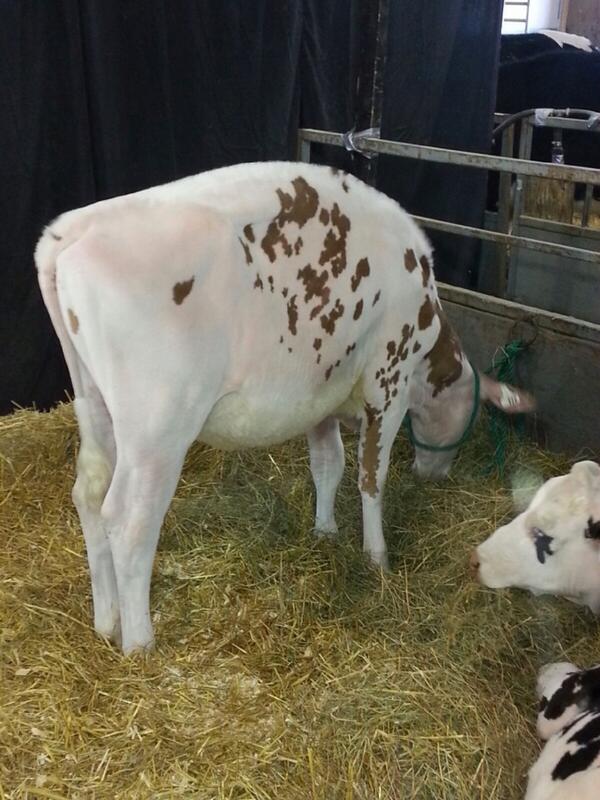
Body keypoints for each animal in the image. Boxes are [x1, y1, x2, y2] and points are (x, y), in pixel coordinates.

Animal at [35, 161, 534, 653]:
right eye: (473, 415)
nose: (436, 474)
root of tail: (73, 228)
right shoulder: (387, 384)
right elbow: (371, 476)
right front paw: (377, 557)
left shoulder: (320, 395)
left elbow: (327, 464)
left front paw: (325, 531)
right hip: (157, 430)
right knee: (128, 521)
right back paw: (139, 642)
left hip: (94, 405)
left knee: (88, 493)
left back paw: (107, 622)